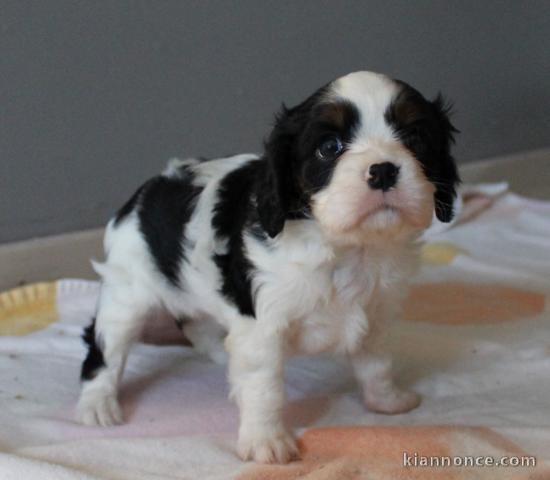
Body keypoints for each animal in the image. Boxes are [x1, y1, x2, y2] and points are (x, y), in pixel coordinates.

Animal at [76, 70, 458, 462]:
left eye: (414, 138)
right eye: (330, 147)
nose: (382, 170)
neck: (348, 247)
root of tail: (146, 191)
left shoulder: (376, 313)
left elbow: (377, 363)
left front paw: (387, 401)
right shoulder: (262, 323)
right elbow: (264, 387)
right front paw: (266, 441)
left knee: (195, 323)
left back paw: (219, 352)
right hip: (128, 290)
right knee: (104, 345)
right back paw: (97, 404)